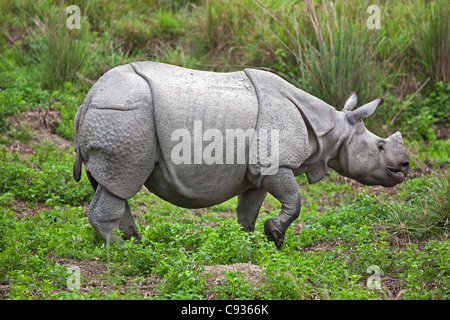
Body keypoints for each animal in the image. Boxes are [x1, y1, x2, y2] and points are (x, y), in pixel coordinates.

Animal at [72, 60, 410, 250]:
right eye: (380, 147)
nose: (405, 166)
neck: (333, 129)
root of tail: (89, 96)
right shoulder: (275, 164)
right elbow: (296, 201)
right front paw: (275, 235)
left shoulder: (258, 172)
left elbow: (248, 213)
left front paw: (253, 244)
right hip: (125, 115)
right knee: (123, 180)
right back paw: (122, 251)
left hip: (116, 115)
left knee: (111, 183)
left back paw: (137, 242)